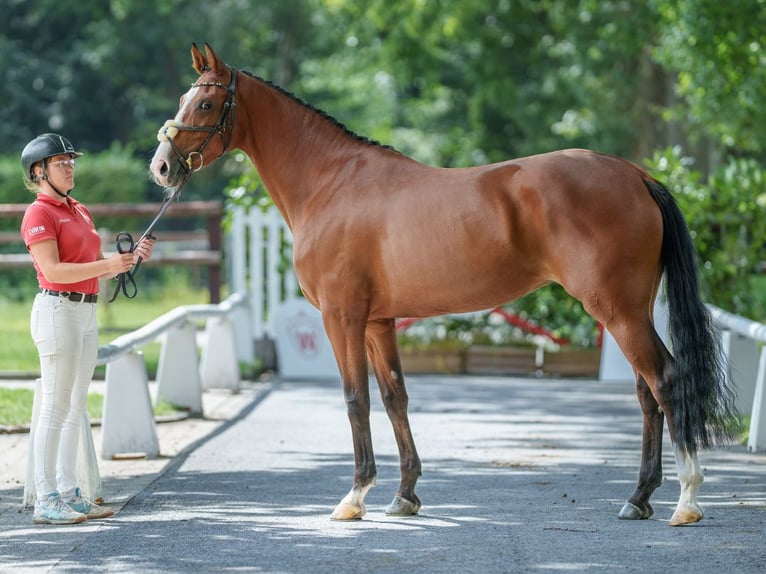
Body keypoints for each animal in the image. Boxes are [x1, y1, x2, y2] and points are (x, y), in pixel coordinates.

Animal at [148, 44, 736, 532]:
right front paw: (404, 495)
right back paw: (639, 498)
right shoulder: (379, 321)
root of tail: (637, 175)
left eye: (205, 104)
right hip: (628, 311)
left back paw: (686, 501)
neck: (331, 183)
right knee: (646, 393)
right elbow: (394, 398)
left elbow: (356, 399)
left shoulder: (342, 317)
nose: (162, 167)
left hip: (618, 311)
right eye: (183, 99)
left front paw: (354, 498)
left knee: (666, 381)